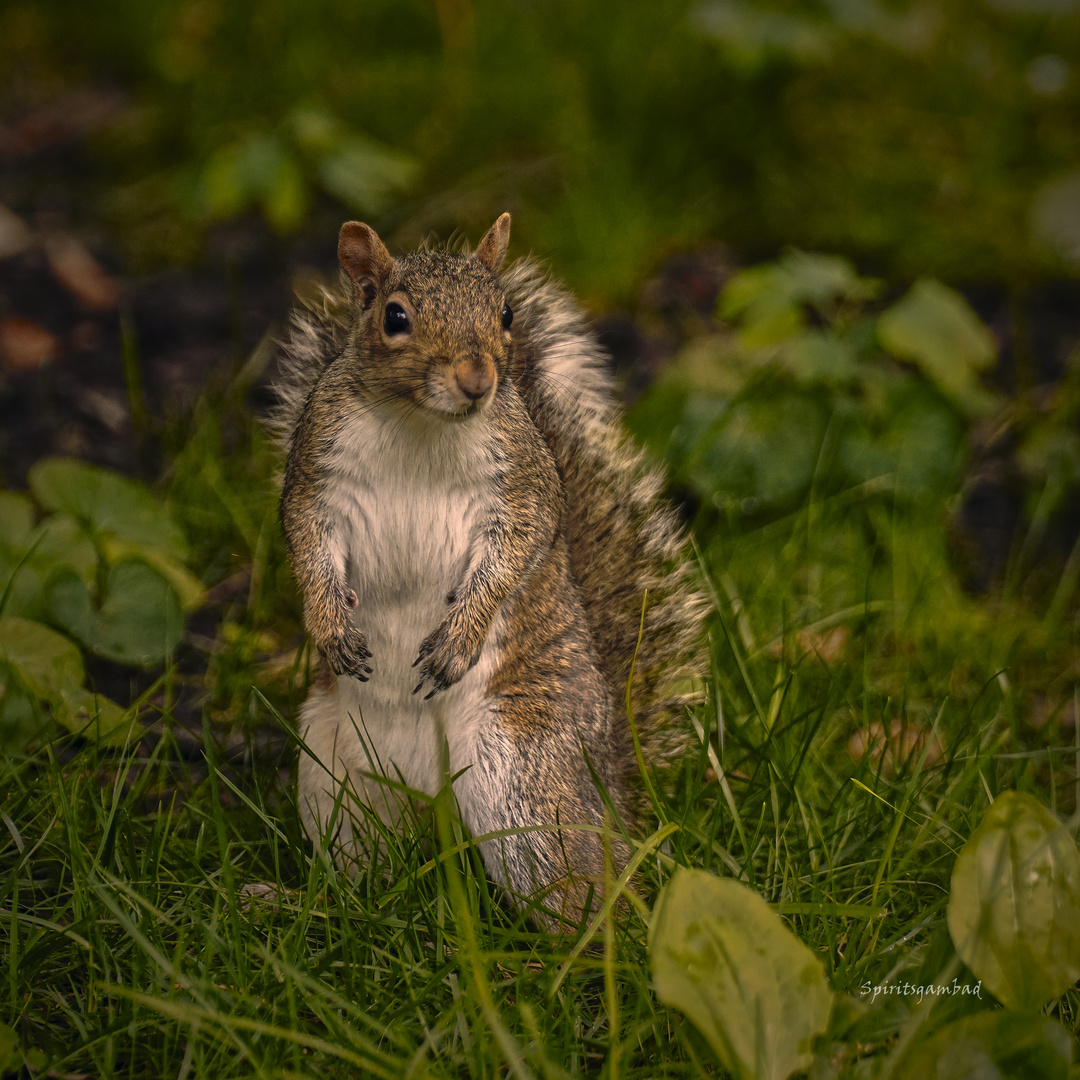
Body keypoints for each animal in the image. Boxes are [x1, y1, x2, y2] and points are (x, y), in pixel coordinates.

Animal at [272, 212, 708, 928]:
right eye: (394, 317)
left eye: (505, 313)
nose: (478, 379)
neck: (420, 424)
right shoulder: (315, 478)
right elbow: (306, 545)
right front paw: (330, 627)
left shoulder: (524, 486)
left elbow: (515, 555)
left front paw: (459, 640)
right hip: (336, 780)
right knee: (368, 869)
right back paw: (319, 907)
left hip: (527, 782)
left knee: (579, 884)